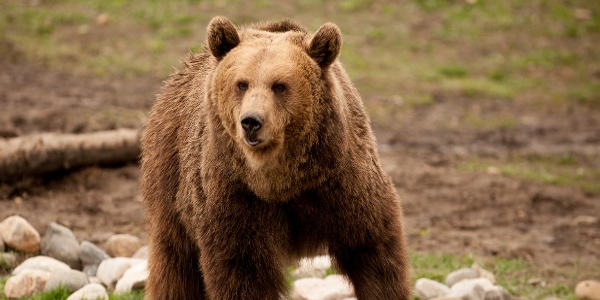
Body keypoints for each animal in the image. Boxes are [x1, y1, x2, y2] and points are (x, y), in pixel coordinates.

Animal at [141, 17, 412, 300]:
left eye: (279, 85)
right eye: (242, 83)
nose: (251, 122)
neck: (281, 180)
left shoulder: (342, 182)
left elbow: (373, 249)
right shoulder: (234, 196)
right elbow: (241, 270)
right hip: (170, 177)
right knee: (176, 263)